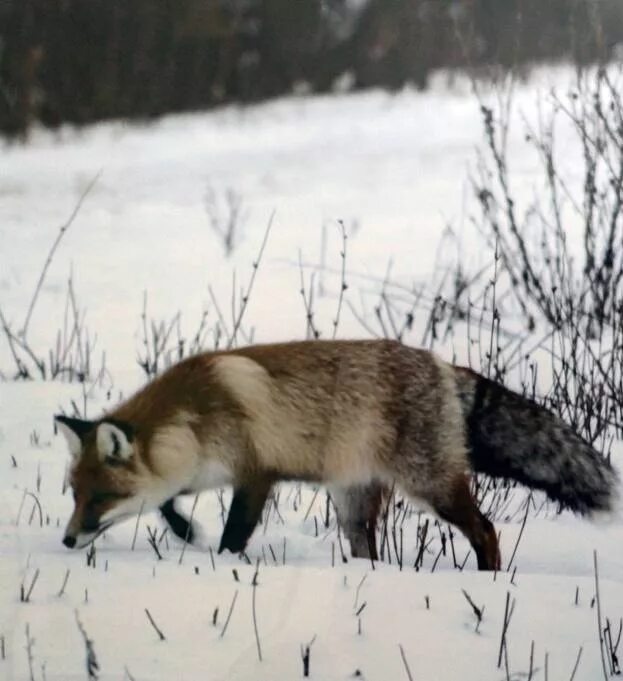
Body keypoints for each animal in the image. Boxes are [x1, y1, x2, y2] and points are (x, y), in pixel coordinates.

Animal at [54, 340, 620, 568]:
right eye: (75, 495)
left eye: (99, 499)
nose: (66, 540)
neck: (195, 421)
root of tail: (440, 365)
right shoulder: (196, 474)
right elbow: (168, 503)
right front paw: (187, 531)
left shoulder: (256, 475)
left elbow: (235, 533)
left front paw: (221, 563)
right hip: (352, 503)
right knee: (368, 549)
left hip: (431, 486)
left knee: (486, 530)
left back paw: (490, 582)